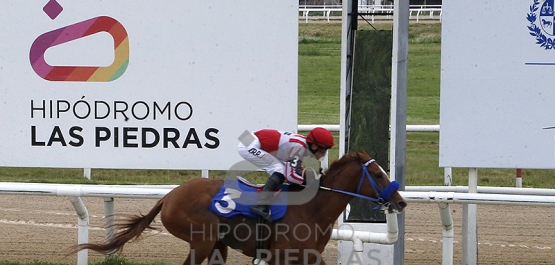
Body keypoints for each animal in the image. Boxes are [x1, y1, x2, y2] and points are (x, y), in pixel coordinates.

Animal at [76, 150, 406, 262]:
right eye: (378, 175)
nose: (400, 202)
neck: (312, 209)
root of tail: (168, 196)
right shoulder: (279, 258)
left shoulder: (310, 258)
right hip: (202, 240)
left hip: (217, 245)